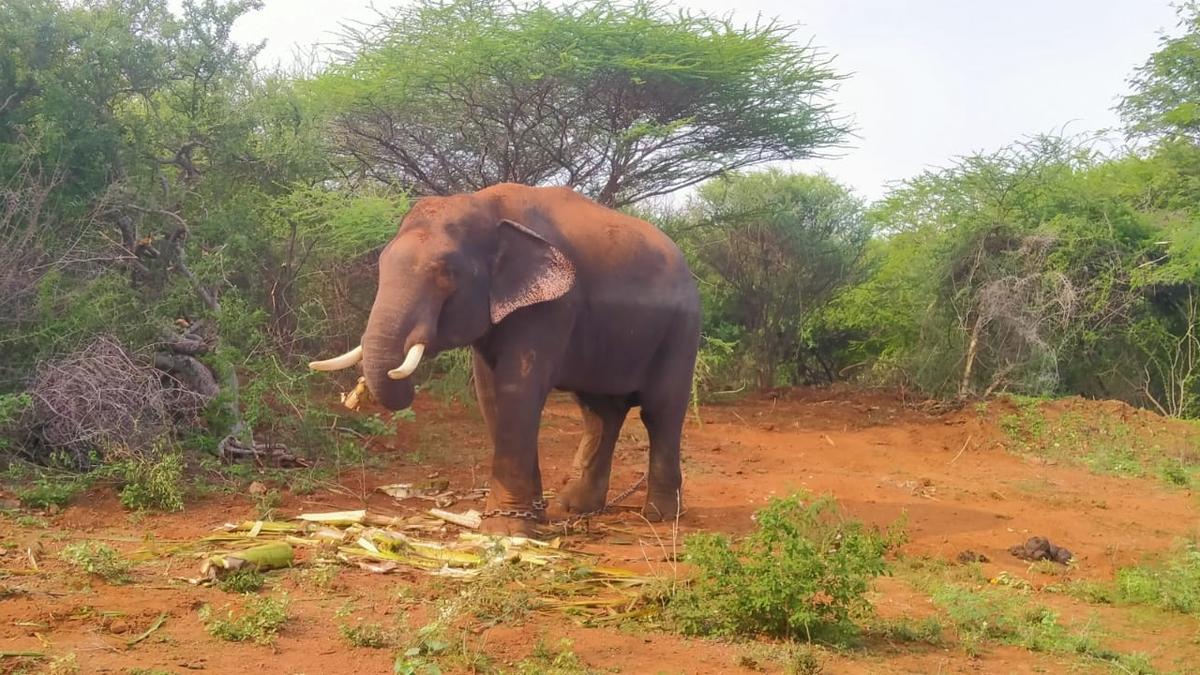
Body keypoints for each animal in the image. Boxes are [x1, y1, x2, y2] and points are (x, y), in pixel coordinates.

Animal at [308, 183, 700, 535]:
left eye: (447, 272)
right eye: (381, 264)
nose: (356, 395)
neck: (485, 206)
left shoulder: (553, 306)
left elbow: (518, 389)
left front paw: (506, 530)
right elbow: (490, 394)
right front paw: (531, 517)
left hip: (681, 329)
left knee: (660, 410)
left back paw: (660, 516)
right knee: (600, 413)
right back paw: (572, 508)